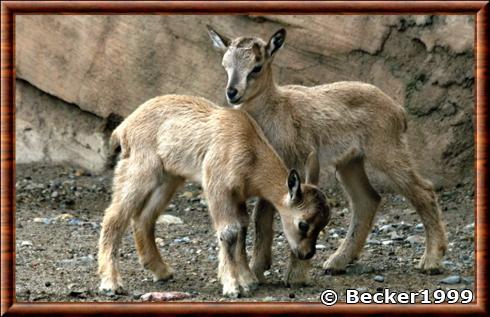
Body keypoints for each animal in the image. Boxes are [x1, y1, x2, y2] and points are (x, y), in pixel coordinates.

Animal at [96, 94, 330, 296]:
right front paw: (232, 286)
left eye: (323, 225)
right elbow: (229, 231)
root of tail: (124, 128)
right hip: (140, 169)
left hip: (168, 178)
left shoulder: (238, 197)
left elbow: (242, 227)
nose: (307, 253)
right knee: (114, 216)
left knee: (144, 218)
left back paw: (161, 270)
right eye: (303, 224)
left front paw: (247, 279)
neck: (250, 152)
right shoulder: (217, 187)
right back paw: (111, 283)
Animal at [207, 25, 448, 284]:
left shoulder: (299, 160)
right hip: (350, 162)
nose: (232, 92)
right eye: (225, 65)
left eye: (256, 67)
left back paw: (431, 261)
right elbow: (262, 215)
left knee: (422, 191)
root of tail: (399, 112)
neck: (276, 110)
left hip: (386, 150)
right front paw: (258, 268)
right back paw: (337, 262)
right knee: (367, 199)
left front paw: (292, 274)